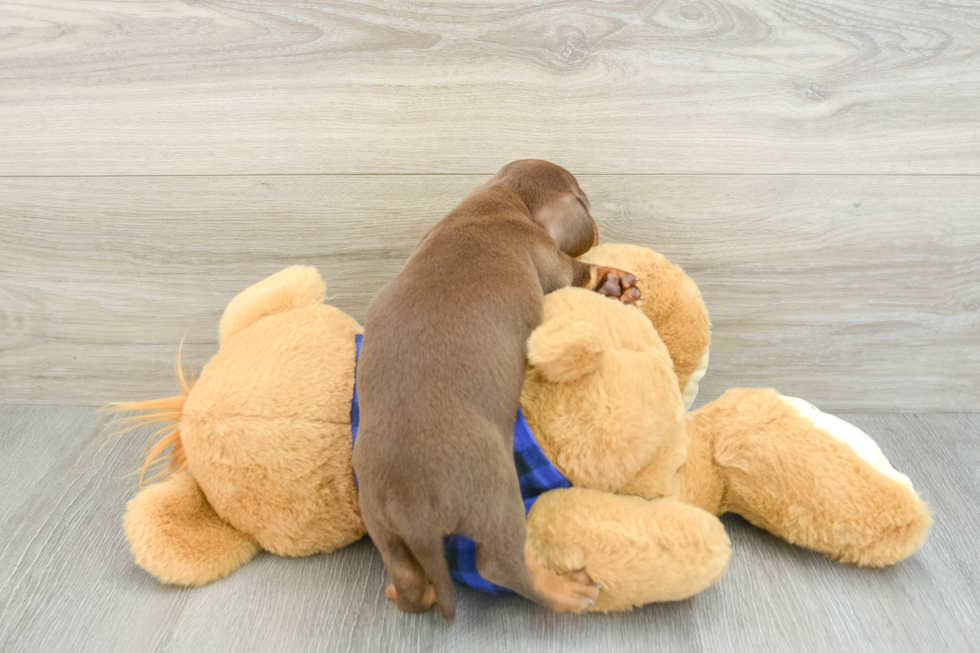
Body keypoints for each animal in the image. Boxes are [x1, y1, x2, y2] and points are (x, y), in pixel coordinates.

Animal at [352, 159, 644, 620]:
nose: (599, 229)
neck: (496, 203)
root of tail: (410, 503)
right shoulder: (551, 261)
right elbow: (575, 273)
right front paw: (611, 281)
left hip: (383, 526)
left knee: (410, 582)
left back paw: (405, 594)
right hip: (496, 499)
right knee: (502, 566)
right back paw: (565, 592)